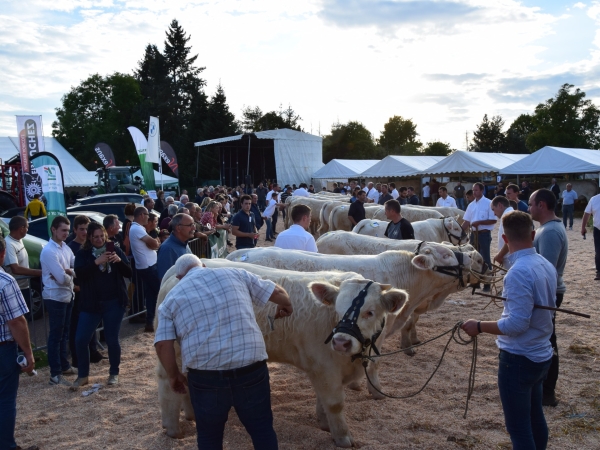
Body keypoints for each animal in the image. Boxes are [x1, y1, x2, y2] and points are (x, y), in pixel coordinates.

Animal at [155, 260, 408, 446]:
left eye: (370, 312)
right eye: (338, 309)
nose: (341, 342)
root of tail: (176, 273)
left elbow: (323, 400)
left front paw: (324, 424)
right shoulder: (324, 367)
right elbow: (335, 403)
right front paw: (343, 438)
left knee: (186, 382)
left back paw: (191, 415)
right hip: (174, 350)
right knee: (168, 385)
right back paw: (173, 428)